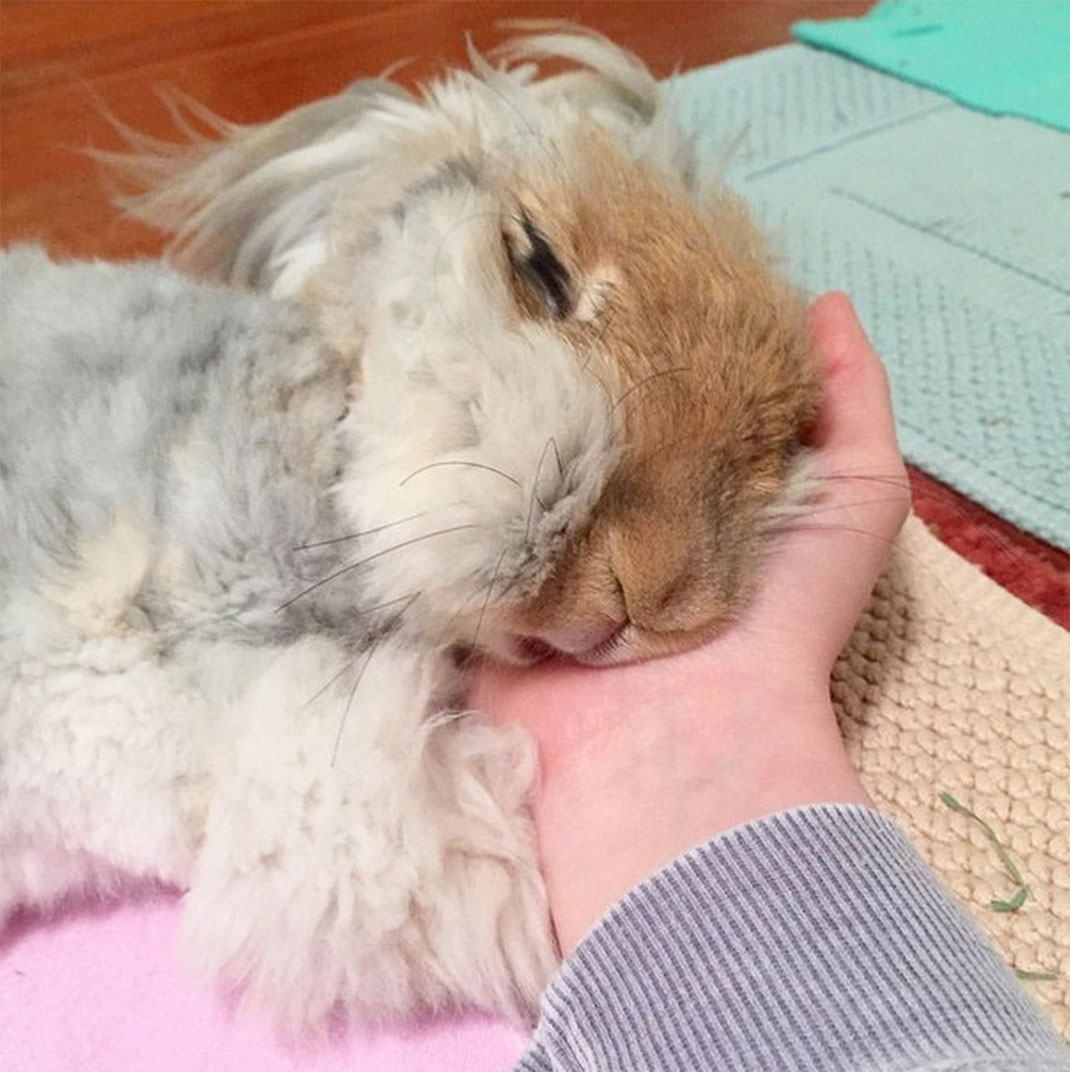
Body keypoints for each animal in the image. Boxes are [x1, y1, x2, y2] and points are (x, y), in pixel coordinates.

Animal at [0, 29, 820, 1030]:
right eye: (539, 265)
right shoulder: (89, 665)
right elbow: (345, 811)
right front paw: (511, 895)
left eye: (787, 431)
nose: (643, 594)